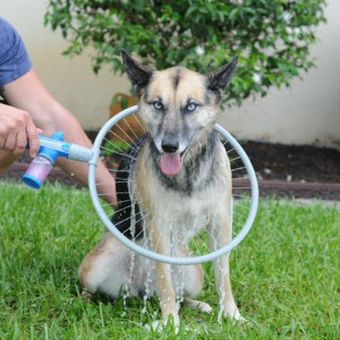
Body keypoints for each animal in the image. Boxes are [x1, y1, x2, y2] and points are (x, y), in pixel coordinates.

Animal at [77, 50, 242, 330]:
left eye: (191, 106)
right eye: (158, 105)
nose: (169, 146)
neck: (187, 172)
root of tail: (139, 288)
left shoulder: (220, 223)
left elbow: (224, 273)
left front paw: (231, 314)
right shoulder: (159, 226)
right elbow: (166, 281)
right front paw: (170, 323)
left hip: (193, 273)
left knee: (185, 293)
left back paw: (199, 304)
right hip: (97, 265)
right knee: (91, 287)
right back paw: (84, 301)